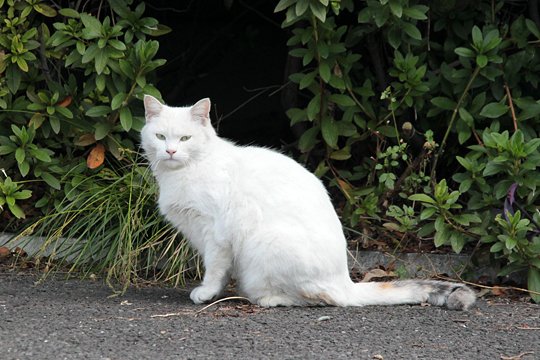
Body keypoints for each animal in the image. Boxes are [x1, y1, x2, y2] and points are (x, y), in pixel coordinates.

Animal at [141, 95, 474, 310]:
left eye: (185, 139)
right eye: (160, 136)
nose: (170, 151)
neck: (185, 172)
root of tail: (345, 282)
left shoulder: (216, 234)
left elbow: (214, 267)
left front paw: (206, 292)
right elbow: (219, 271)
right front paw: (216, 292)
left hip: (266, 245)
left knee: (321, 299)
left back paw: (268, 298)